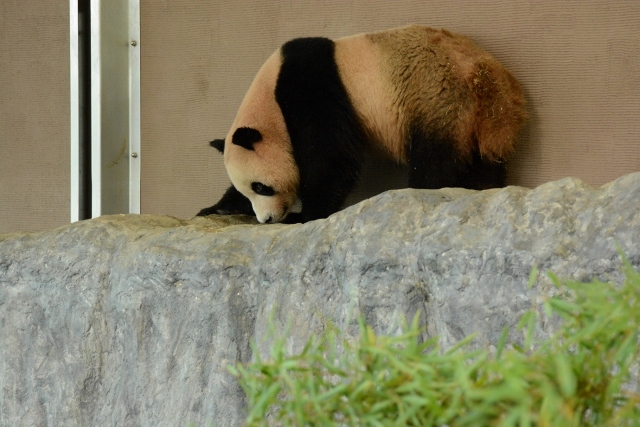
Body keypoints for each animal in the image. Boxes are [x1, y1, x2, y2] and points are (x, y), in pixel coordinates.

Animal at [196, 24, 524, 224]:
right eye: (250, 191)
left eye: (261, 187)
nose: (267, 219)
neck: (270, 99)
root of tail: (490, 76)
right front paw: (217, 207)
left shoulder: (311, 87)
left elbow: (331, 157)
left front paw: (307, 214)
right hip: (472, 117)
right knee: (481, 160)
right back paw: (483, 187)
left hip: (437, 97)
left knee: (436, 159)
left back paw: (428, 191)